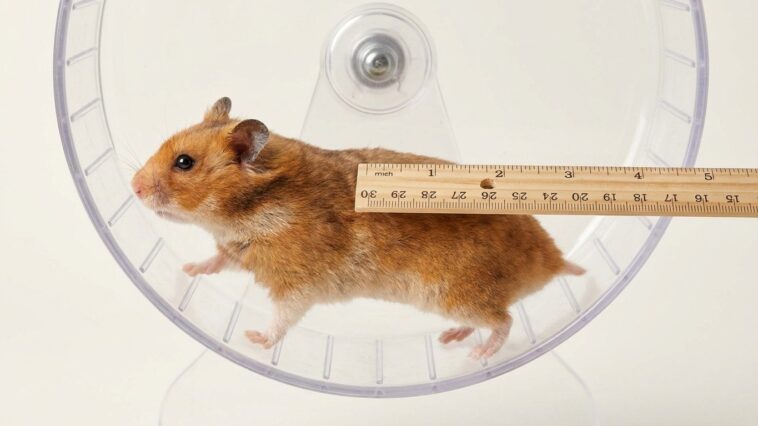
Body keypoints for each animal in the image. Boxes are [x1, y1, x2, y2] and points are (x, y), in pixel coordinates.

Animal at [131, 97, 585, 359]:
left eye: (184, 162)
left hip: (458, 294)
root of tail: (553, 260)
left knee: (504, 321)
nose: (133, 187)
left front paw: (254, 338)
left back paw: (479, 355)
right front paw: (189, 270)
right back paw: (452, 339)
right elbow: (216, 261)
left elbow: (283, 318)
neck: (254, 208)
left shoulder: (297, 285)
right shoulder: (233, 251)